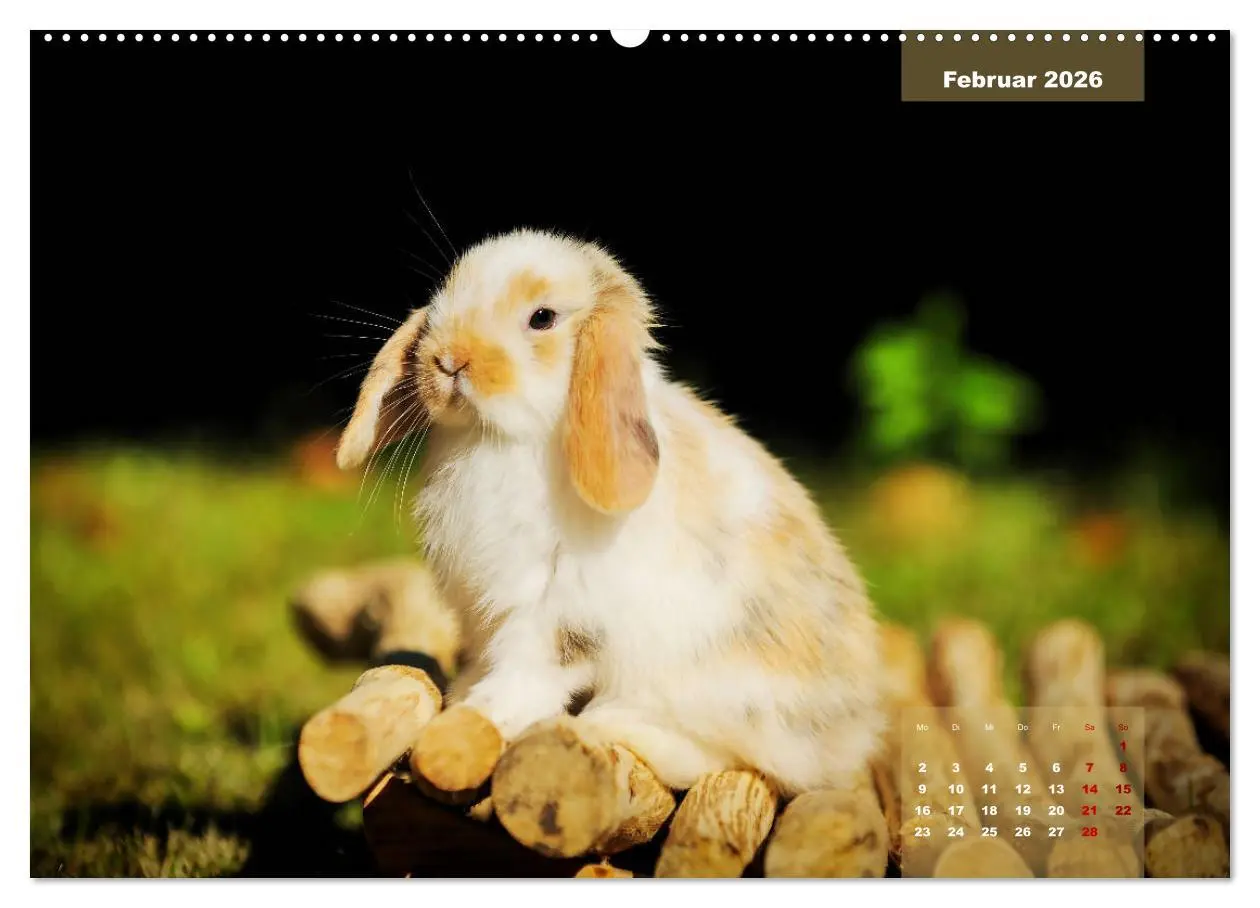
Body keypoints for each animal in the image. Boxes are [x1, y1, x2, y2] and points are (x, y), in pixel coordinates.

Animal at [336, 227, 885, 795]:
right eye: (444, 296)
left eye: (542, 318)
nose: (447, 360)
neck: (497, 439)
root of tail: (855, 734)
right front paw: (461, 696)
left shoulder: (558, 610)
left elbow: (530, 673)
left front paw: (479, 715)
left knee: (737, 759)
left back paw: (610, 724)